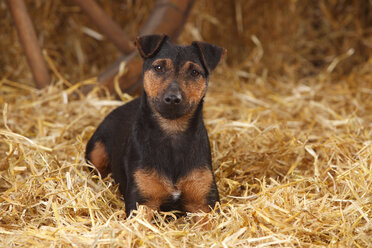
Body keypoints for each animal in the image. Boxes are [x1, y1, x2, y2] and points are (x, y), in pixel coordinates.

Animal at [85, 33, 225, 217]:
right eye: (158, 68)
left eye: (194, 72)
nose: (172, 98)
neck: (172, 132)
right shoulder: (142, 204)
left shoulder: (204, 204)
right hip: (96, 151)